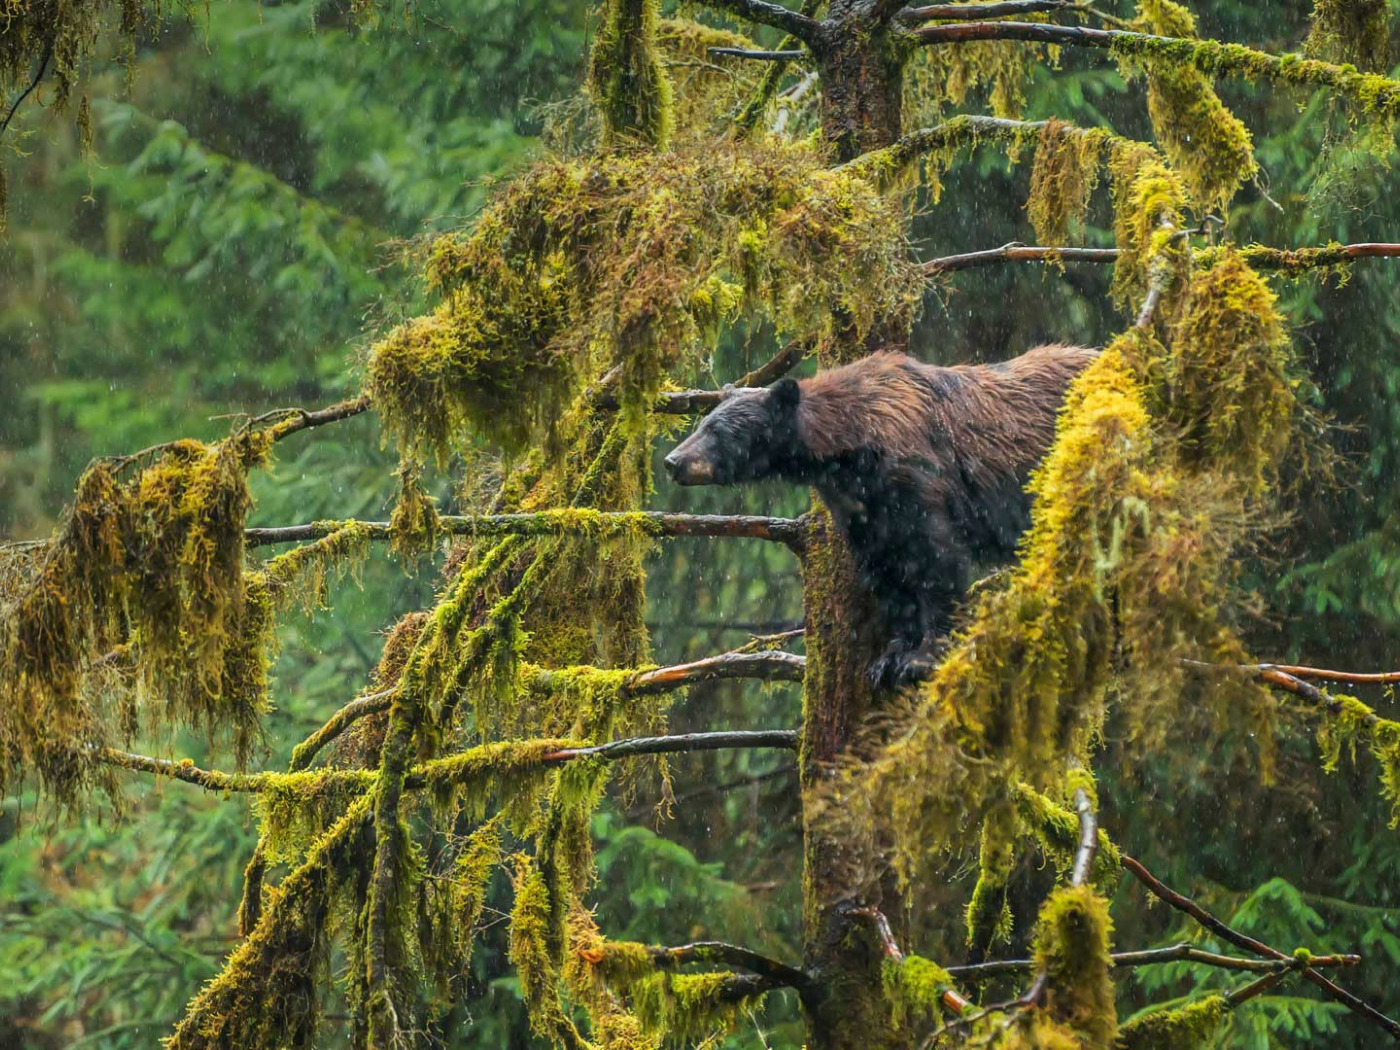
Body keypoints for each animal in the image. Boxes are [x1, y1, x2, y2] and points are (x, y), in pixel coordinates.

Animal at [660, 347, 1097, 691]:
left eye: (718, 430)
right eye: (701, 422)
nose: (672, 461)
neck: (850, 449)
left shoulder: (916, 477)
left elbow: (936, 560)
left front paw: (923, 657)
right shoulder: (863, 510)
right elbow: (887, 574)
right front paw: (890, 658)